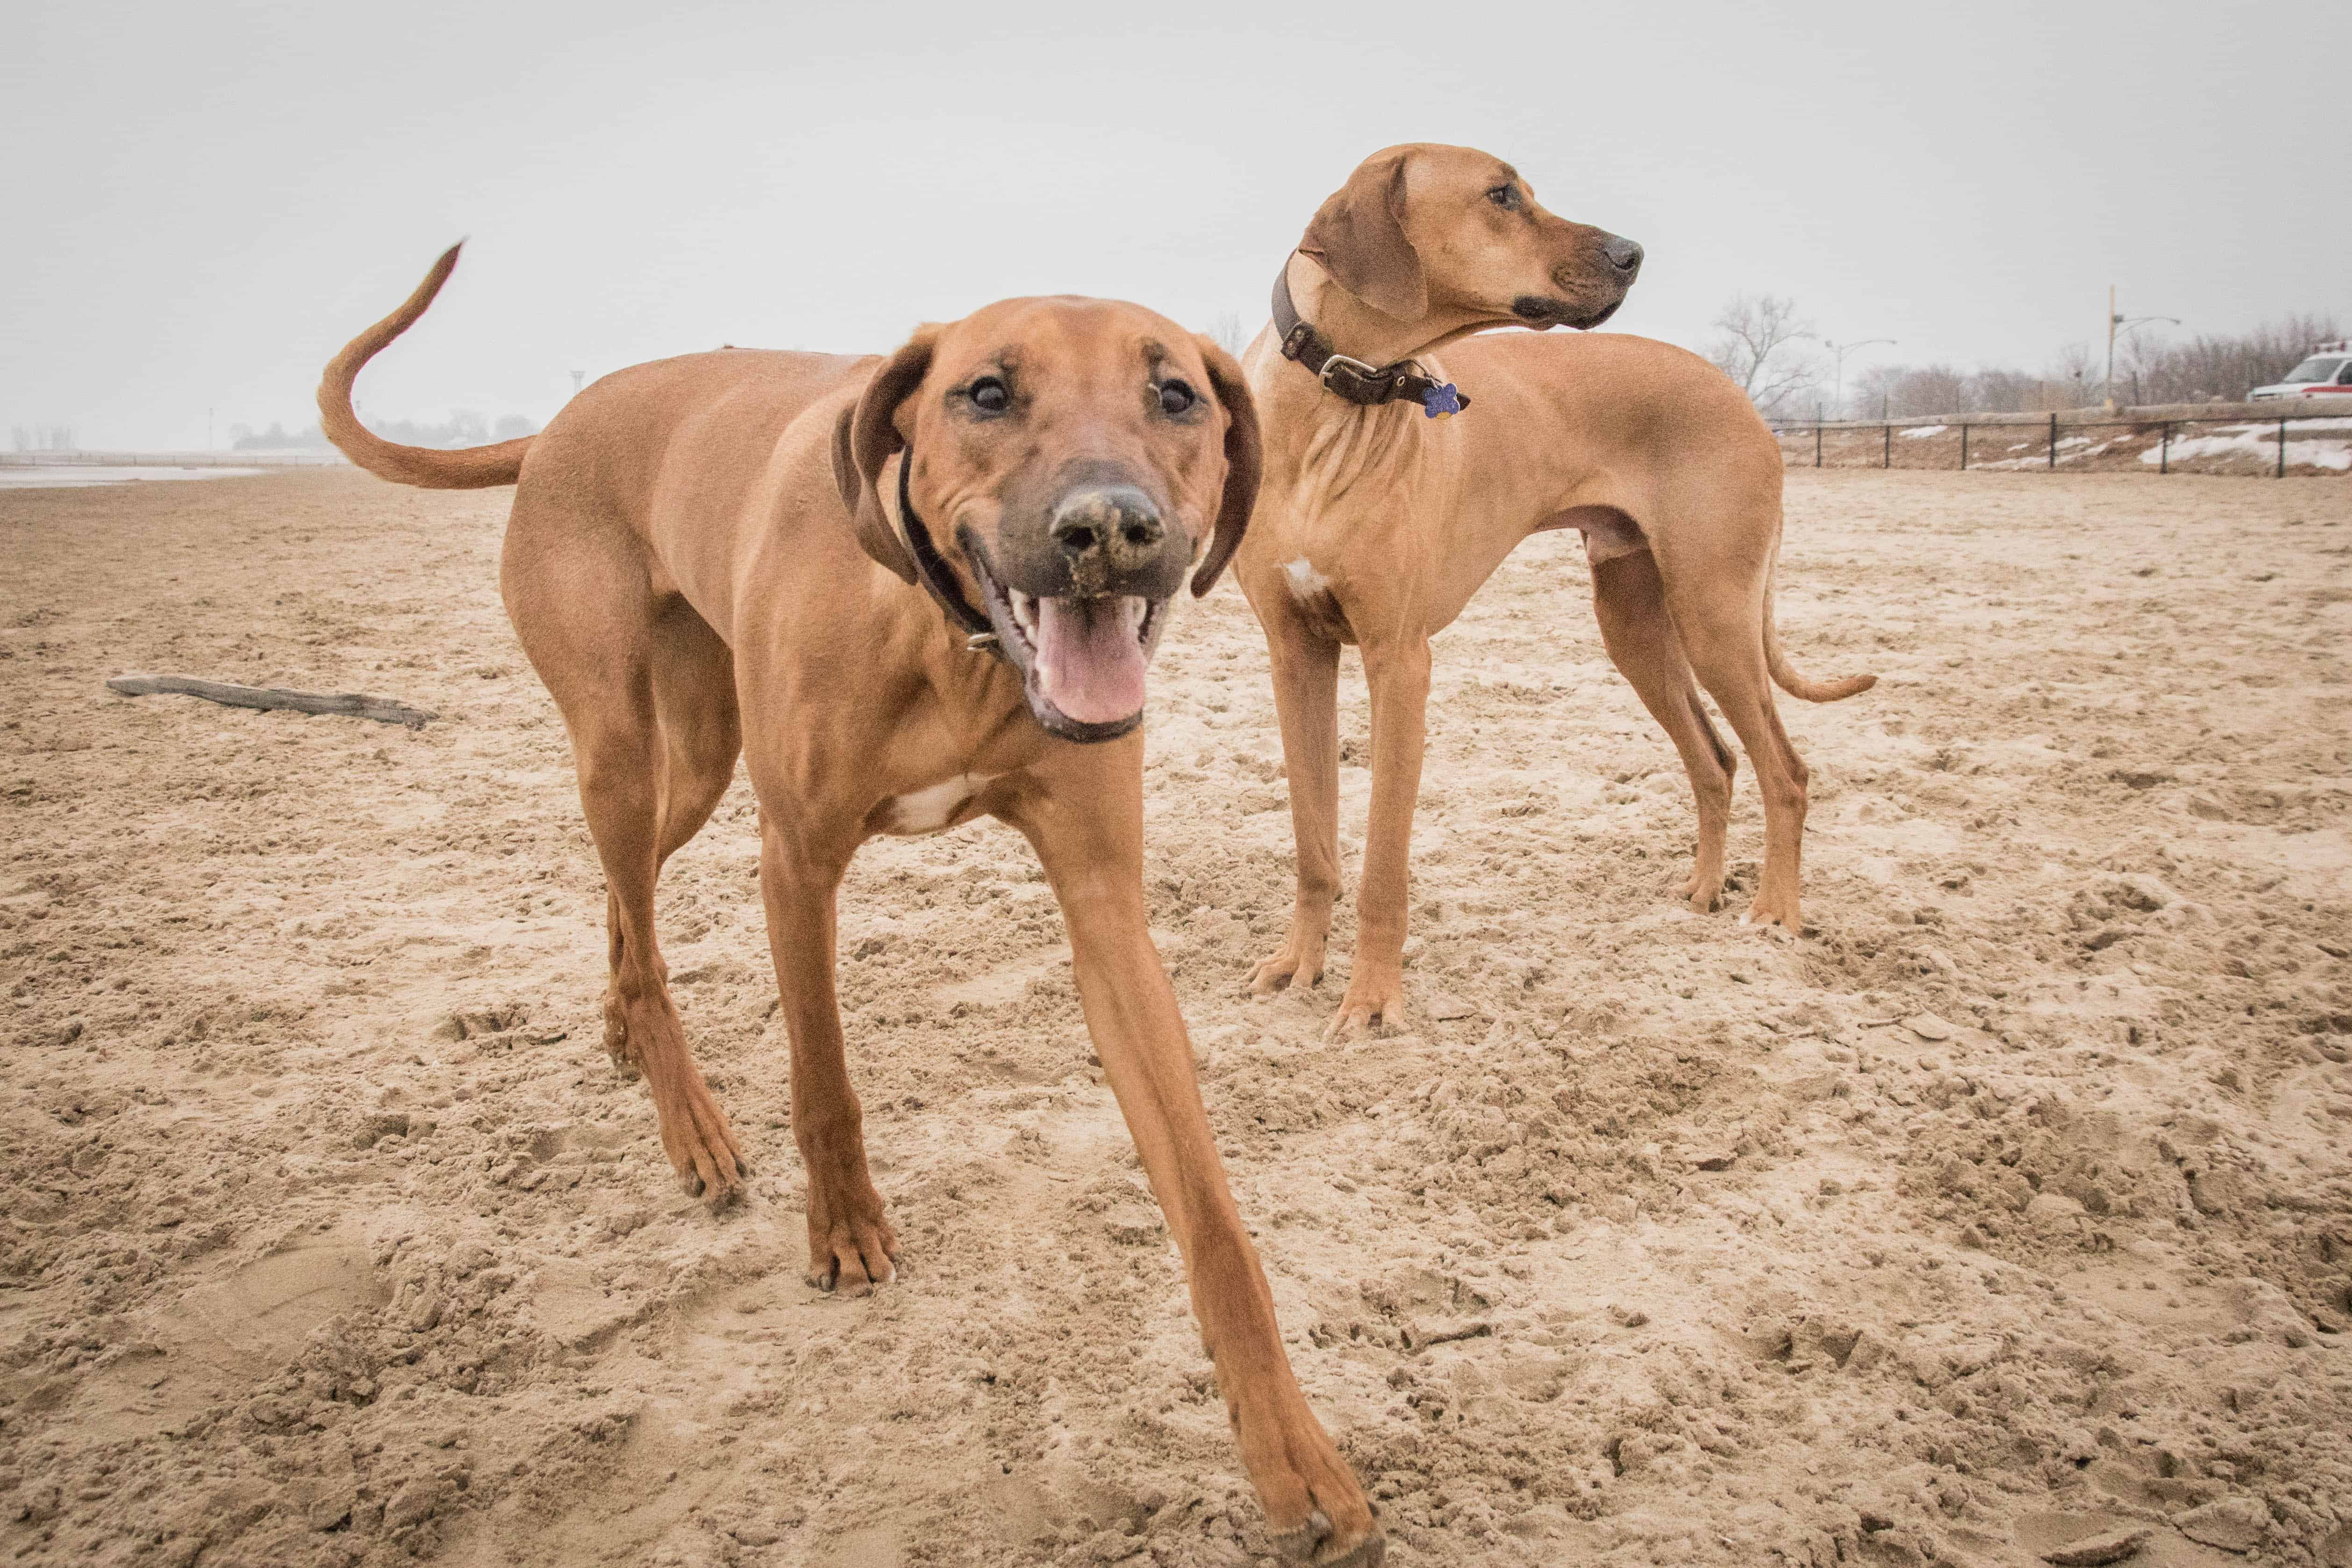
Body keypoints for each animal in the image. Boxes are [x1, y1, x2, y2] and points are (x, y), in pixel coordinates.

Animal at [313, 251, 1373, 1561]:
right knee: (634, 906)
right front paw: (845, 1231)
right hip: (622, 744)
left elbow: (1214, 1216)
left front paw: (1293, 1453)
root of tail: (557, 423)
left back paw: (620, 1031)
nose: (1111, 528)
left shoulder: (1104, 906)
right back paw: (692, 1127)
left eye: (1176, 395)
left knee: (627, 901)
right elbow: (822, 1077)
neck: (950, 638)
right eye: (985, 392)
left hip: (697, 760)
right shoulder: (796, 860)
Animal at [1232, 141, 1872, 1034]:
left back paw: (1776, 915)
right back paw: (1705, 890)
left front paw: (1371, 1001)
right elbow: (1312, 842)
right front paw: (1298, 964)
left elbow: (1383, 863)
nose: (1632, 254)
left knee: (1785, 770)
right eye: (1501, 196)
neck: (1337, 399)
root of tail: (1734, 390)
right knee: (1715, 760)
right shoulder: (1295, 654)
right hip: (1633, 622)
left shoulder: (1400, 662)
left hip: (1714, 612)